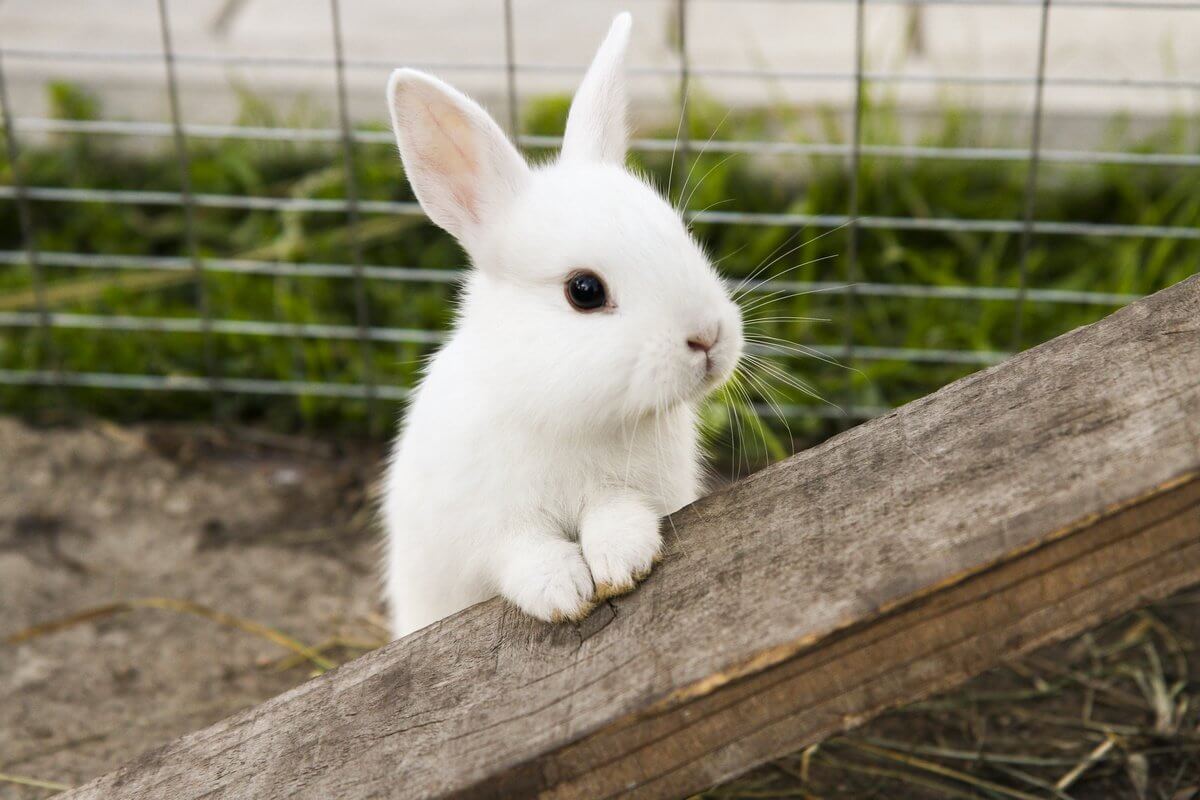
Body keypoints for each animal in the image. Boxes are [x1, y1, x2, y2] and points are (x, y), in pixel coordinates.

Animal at [381, 12, 739, 638]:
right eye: (584, 291)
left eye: (680, 232)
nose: (708, 338)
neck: (568, 415)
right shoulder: (488, 528)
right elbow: (523, 553)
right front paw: (563, 591)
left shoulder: (635, 490)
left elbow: (617, 514)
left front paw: (622, 561)